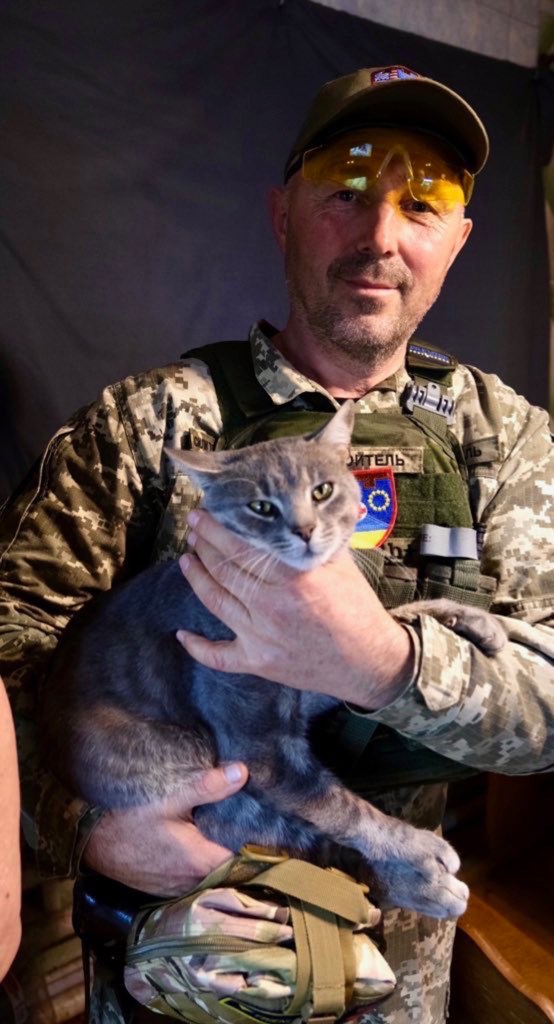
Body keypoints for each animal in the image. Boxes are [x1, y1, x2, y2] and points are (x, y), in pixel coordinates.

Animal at [40, 401, 503, 921]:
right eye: (261, 507)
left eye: (322, 491)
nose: (305, 530)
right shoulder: (262, 750)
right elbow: (342, 808)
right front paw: (415, 849)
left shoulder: (319, 679)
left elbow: (396, 618)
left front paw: (468, 620)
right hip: (189, 770)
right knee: (290, 837)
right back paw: (419, 883)